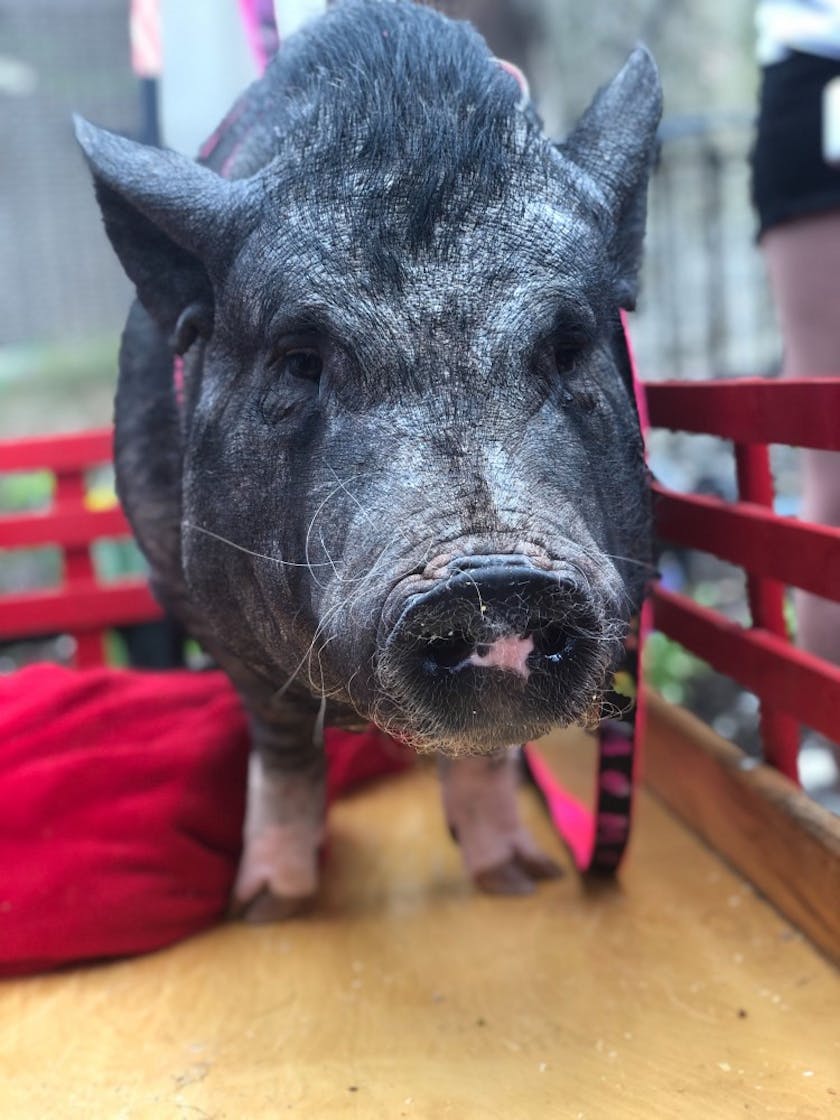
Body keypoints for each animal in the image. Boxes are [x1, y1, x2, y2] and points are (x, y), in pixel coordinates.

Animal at [76, 0, 661, 919]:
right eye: (300, 361)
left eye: (570, 349)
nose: (496, 580)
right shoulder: (195, 599)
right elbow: (283, 741)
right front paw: (269, 908)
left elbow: (485, 754)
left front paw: (516, 881)